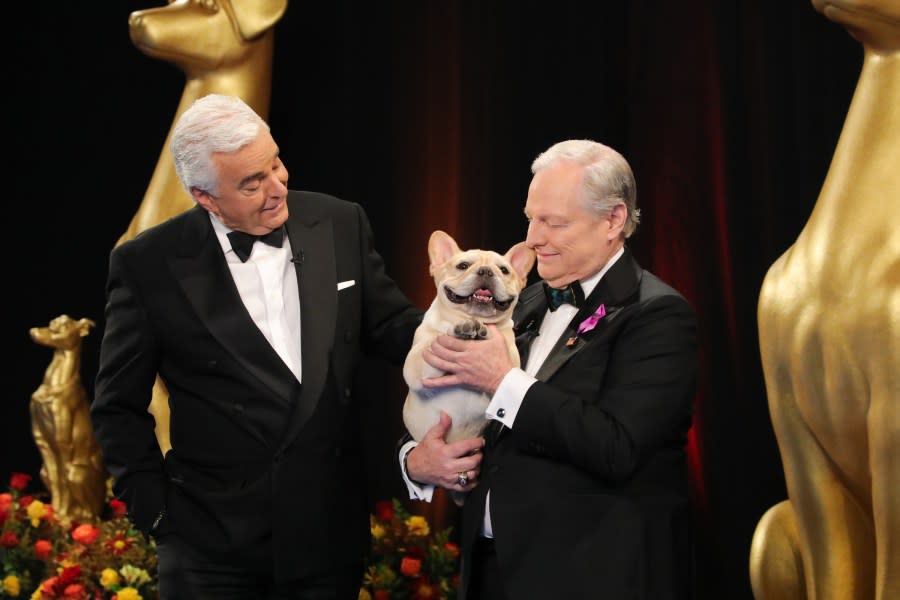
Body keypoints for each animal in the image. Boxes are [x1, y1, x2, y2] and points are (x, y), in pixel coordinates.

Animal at [406, 230, 536, 446]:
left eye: (504, 270)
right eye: (463, 266)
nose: (486, 271)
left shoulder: (509, 360)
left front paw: (484, 333)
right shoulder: (414, 367)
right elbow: (431, 346)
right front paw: (459, 330)